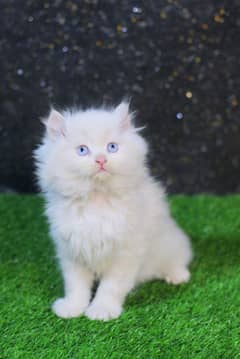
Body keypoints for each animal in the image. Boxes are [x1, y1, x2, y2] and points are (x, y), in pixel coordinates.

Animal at [33, 102, 192, 322]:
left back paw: (178, 276)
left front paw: (102, 311)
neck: (97, 198)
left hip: (171, 243)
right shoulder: (72, 252)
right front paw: (72, 308)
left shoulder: (125, 254)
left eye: (112, 147)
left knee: (177, 258)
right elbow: (75, 286)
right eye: (82, 150)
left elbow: (111, 288)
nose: (101, 160)